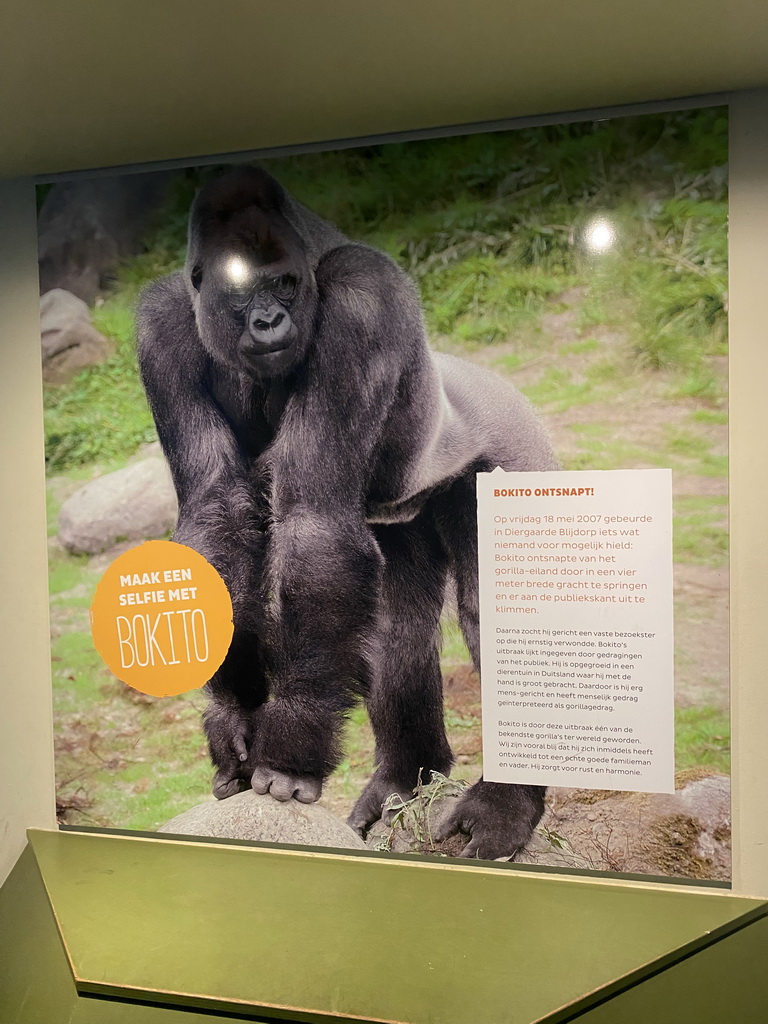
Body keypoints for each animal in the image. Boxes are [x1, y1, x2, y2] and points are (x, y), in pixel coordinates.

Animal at [138, 163, 561, 860]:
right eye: (241, 291)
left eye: (283, 282)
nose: (268, 321)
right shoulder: (160, 328)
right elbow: (218, 511)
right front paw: (234, 718)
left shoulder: (363, 299)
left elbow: (313, 521)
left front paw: (293, 742)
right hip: (404, 517)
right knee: (396, 626)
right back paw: (403, 779)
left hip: (514, 449)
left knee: (498, 614)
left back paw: (504, 806)